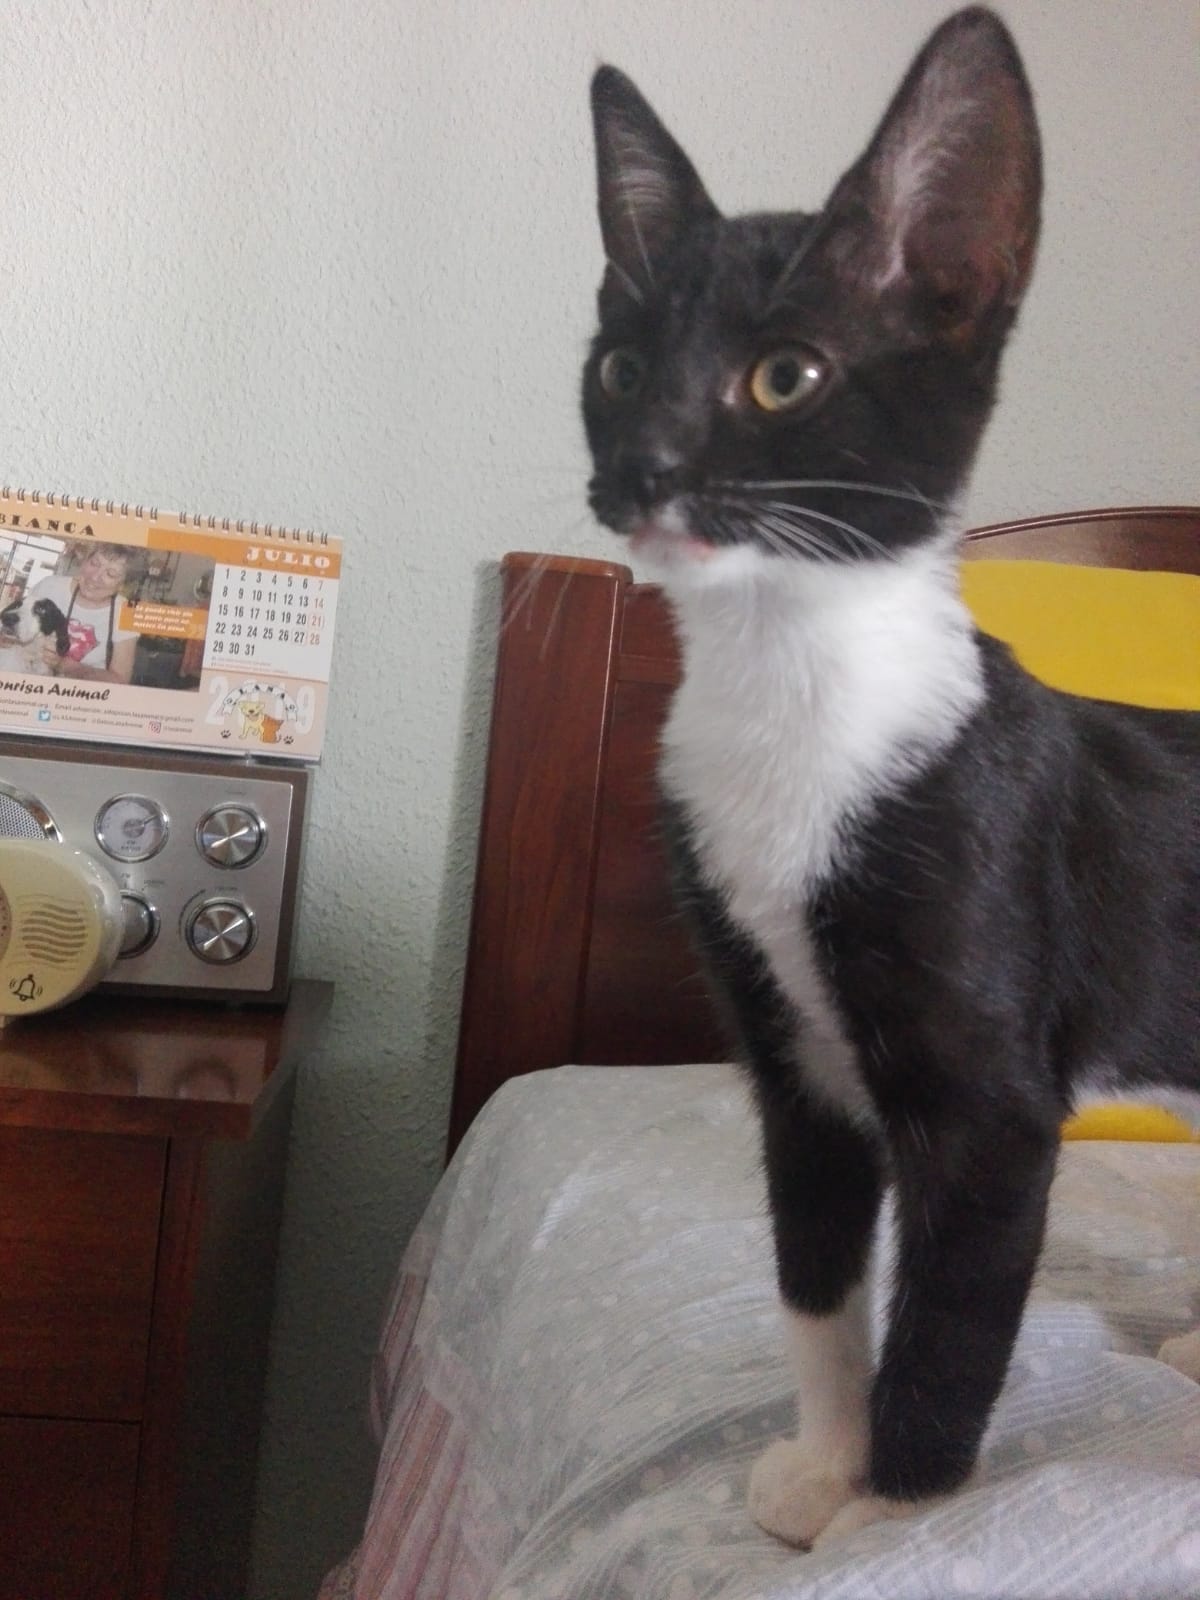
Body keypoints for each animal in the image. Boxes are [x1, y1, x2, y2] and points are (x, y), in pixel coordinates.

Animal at [582, 5, 1200, 1550]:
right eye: (618, 369)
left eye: (785, 376)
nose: (644, 467)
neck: (788, 692)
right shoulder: (787, 1051)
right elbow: (815, 1277)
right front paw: (824, 1461)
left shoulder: (991, 1107)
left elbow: (949, 1325)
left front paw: (899, 1516)